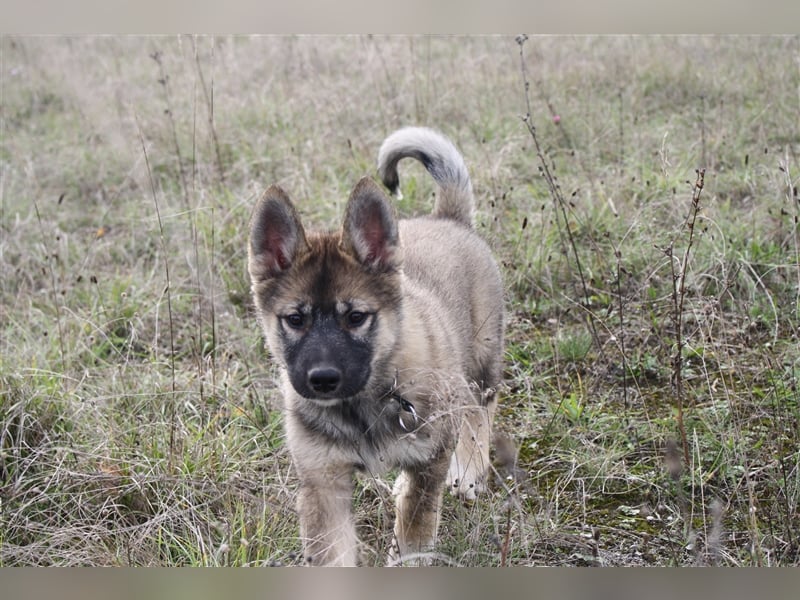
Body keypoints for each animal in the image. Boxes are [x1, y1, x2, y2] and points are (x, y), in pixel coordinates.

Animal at [247, 126, 504, 568]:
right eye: (295, 319)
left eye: (356, 317)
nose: (322, 380)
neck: (362, 404)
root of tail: (447, 218)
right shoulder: (324, 483)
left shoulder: (429, 460)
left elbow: (415, 531)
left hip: (480, 362)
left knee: (479, 409)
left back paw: (471, 471)